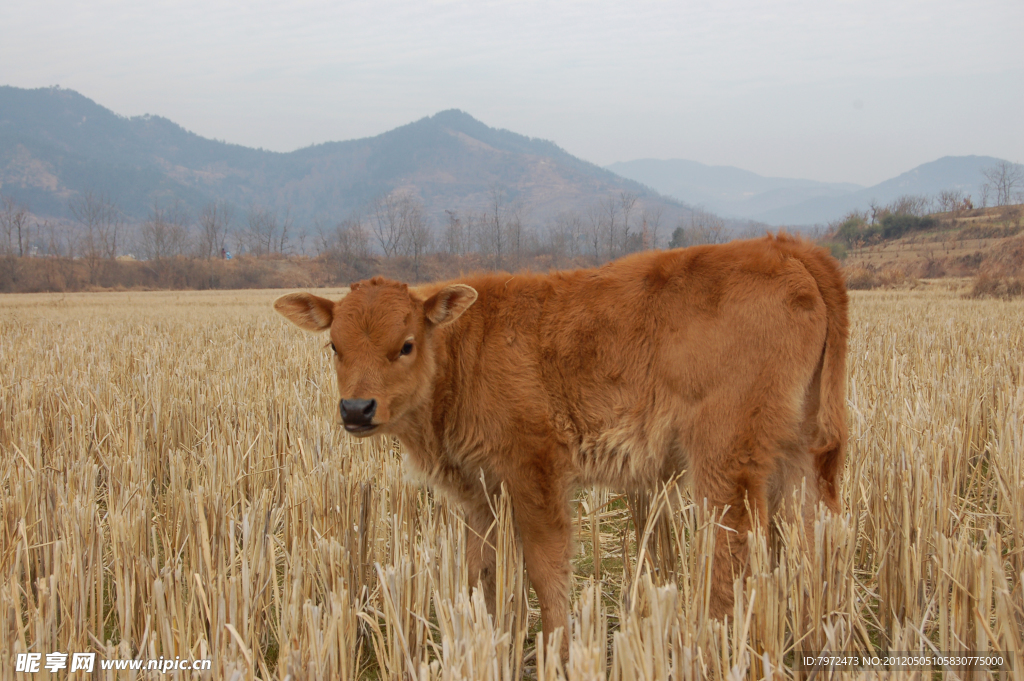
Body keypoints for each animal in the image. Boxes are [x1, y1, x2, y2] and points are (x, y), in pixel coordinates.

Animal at [272, 233, 847, 655]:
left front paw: (560, 650)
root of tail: (785, 246)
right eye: (334, 346)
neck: (465, 348)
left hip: (725, 463)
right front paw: (487, 643)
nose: (356, 410)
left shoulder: (536, 475)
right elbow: (482, 573)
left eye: (406, 345)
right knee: (812, 538)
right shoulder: (482, 493)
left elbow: (546, 571)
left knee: (737, 552)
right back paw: (813, 637)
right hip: (798, 457)